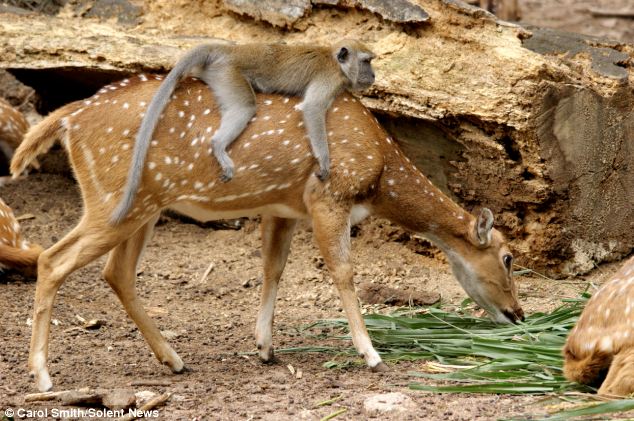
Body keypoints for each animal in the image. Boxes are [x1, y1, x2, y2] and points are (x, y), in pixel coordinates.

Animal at [11, 73, 524, 390]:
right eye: (508, 258)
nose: (518, 315)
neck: (380, 172)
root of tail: (68, 118)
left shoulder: (284, 207)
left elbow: (272, 268)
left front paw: (265, 348)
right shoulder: (328, 195)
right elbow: (343, 273)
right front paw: (371, 354)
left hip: (142, 206)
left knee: (115, 272)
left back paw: (174, 359)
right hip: (115, 197)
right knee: (52, 258)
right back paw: (43, 376)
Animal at [110, 40, 372, 223]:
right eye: (366, 61)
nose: (374, 74)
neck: (336, 61)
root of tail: (230, 50)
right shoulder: (330, 79)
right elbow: (312, 108)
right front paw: (325, 162)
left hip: (218, 75)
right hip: (229, 75)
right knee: (245, 106)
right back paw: (218, 146)